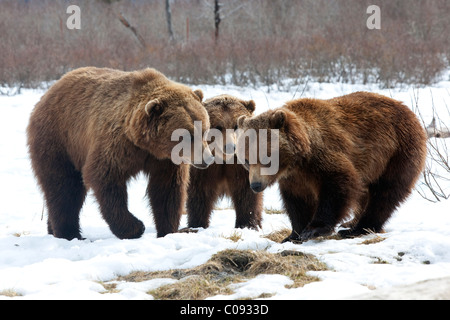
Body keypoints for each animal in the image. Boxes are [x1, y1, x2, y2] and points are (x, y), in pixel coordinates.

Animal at [27, 67, 214, 240]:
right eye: (187, 135)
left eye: (204, 129)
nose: (207, 158)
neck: (146, 145)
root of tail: (47, 93)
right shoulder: (117, 145)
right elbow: (105, 178)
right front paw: (135, 227)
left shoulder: (165, 160)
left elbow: (167, 189)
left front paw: (169, 230)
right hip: (59, 140)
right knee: (64, 186)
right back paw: (69, 233)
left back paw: (53, 229)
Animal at [186, 94, 264, 230]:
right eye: (218, 126)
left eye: (236, 125)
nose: (230, 147)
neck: (224, 160)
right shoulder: (206, 169)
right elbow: (200, 193)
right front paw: (197, 224)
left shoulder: (241, 168)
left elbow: (247, 194)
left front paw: (246, 224)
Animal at [237, 91, 428, 241]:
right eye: (246, 160)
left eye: (266, 158)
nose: (255, 185)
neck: (297, 160)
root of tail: (409, 111)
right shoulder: (294, 179)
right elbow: (297, 200)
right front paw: (294, 234)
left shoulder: (323, 157)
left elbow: (338, 184)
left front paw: (314, 229)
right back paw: (351, 222)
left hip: (397, 152)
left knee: (385, 192)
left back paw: (359, 228)